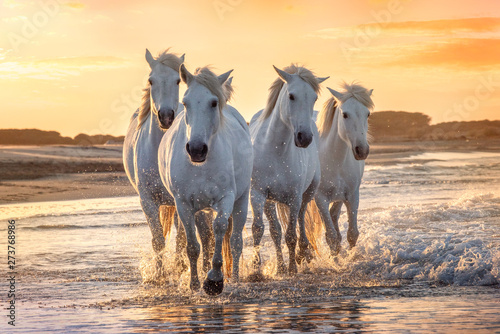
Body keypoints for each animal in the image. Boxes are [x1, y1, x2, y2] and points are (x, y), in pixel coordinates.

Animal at [122, 50, 213, 274]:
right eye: (151, 80)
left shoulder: (182, 201)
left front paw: (179, 268)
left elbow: (182, 239)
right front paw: (160, 274)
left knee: (206, 236)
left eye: (177, 81)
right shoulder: (147, 201)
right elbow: (158, 241)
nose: (165, 116)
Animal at [159, 65, 254, 294]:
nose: (196, 149)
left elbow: (219, 228)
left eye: (213, 102)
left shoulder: (226, 198)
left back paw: (235, 278)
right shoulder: (183, 204)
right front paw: (194, 284)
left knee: (235, 242)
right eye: (185, 102)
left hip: (241, 200)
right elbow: (193, 245)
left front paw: (214, 280)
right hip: (201, 209)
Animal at [250, 64, 328, 276]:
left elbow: (291, 234)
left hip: (307, 193)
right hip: (270, 201)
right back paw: (281, 266)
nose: (304, 137)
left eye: (314, 98)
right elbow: (260, 229)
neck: (275, 150)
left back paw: (303, 253)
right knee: (276, 231)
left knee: (301, 219)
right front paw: (256, 270)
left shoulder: (294, 197)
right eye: (292, 96)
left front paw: (293, 267)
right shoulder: (258, 194)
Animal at [308, 83, 376, 256]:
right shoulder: (320, 199)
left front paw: (351, 257)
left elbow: (352, 234)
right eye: (345, 115)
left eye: (367, 114)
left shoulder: (352, 195)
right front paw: (336, 260)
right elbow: (331, 237)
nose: (362, 150)